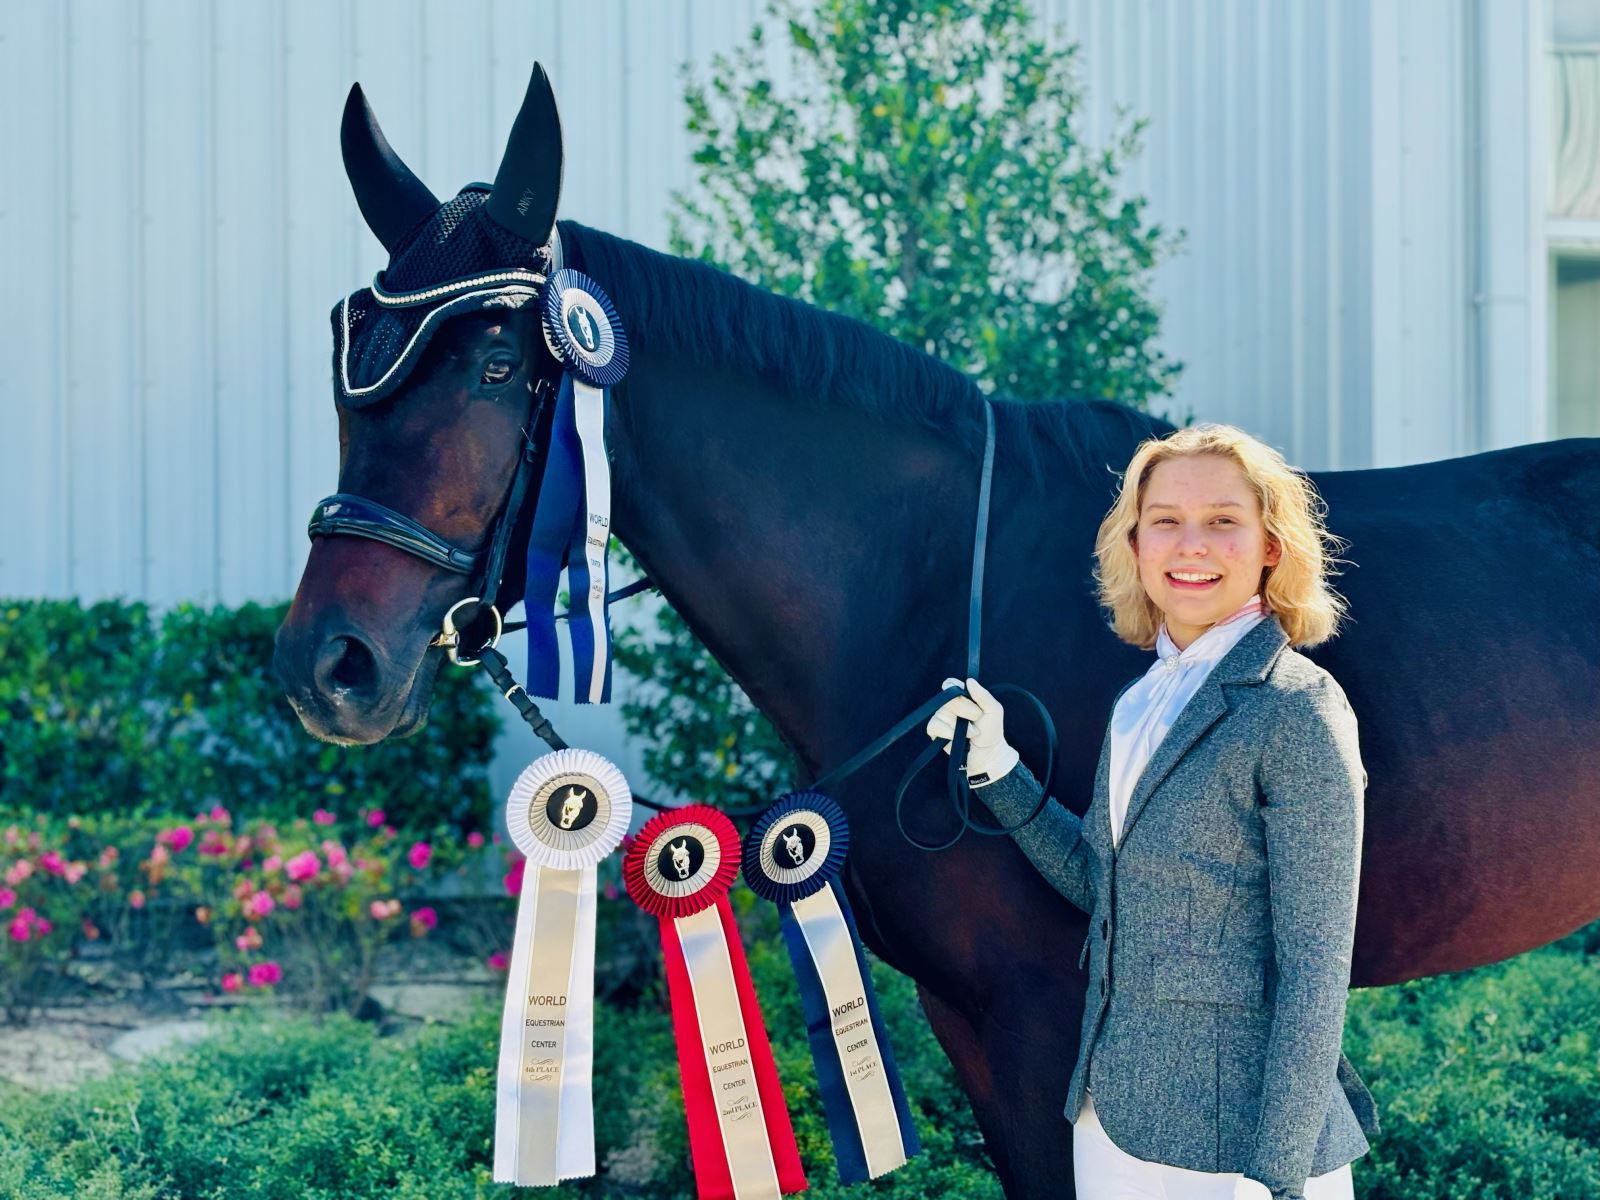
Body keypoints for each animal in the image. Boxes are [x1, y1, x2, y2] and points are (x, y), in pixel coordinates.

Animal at [275, 68, 1600, 1200]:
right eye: (345, 362)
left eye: (497, 365)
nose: (327, 667)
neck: (921, 596)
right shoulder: (978, 1025)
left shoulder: (1044, 1029)